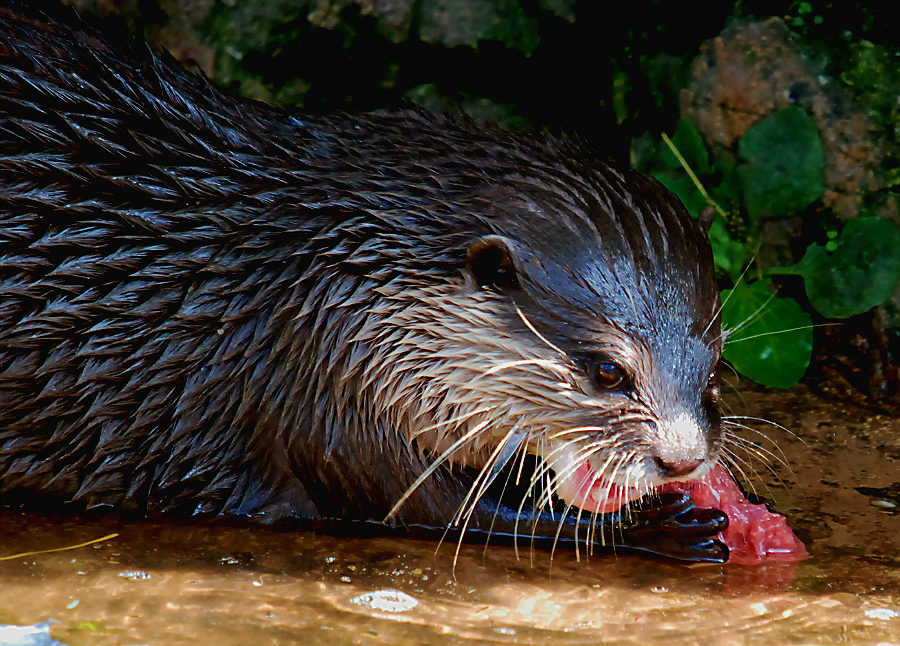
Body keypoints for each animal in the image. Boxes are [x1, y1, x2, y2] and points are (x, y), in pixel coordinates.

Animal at [0, 3, 738, 562]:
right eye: (608, 371)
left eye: (715, 365)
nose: (682, 460)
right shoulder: (325, 392)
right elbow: (440, 510)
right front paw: (665, 527)